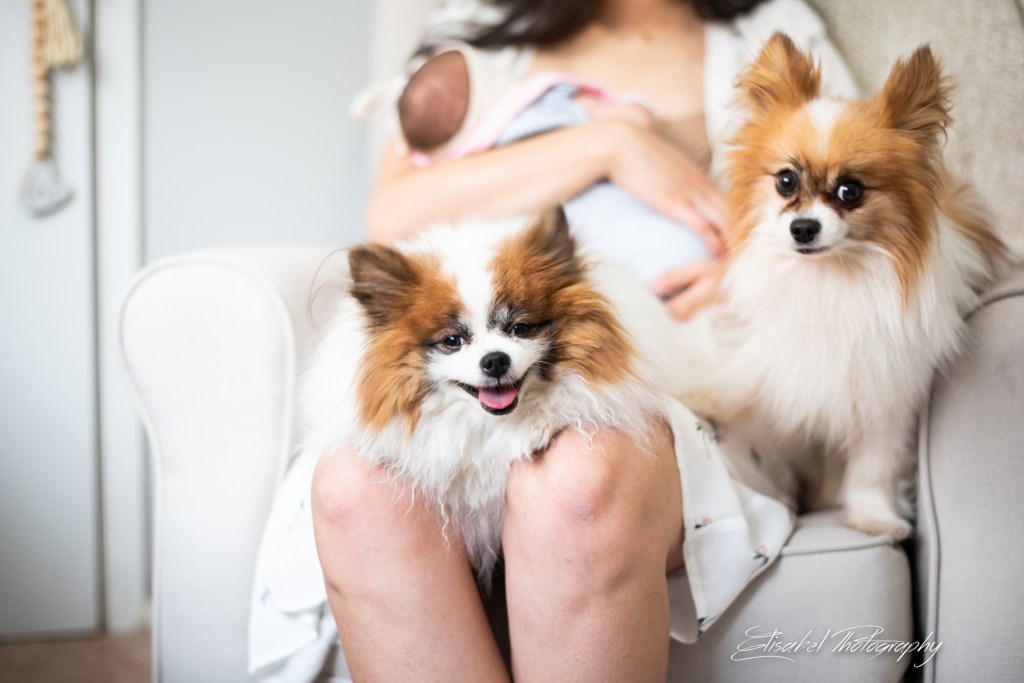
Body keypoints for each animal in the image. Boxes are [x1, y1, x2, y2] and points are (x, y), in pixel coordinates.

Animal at [678, 34, 1010, 539]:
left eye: (849, 191)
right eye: (786, 181)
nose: (803, 228)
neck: (831, 277)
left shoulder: (885, 396)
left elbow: (873, 467)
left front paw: (874, 517)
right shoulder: (778, 347)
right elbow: (743, 377)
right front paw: (703, 399)